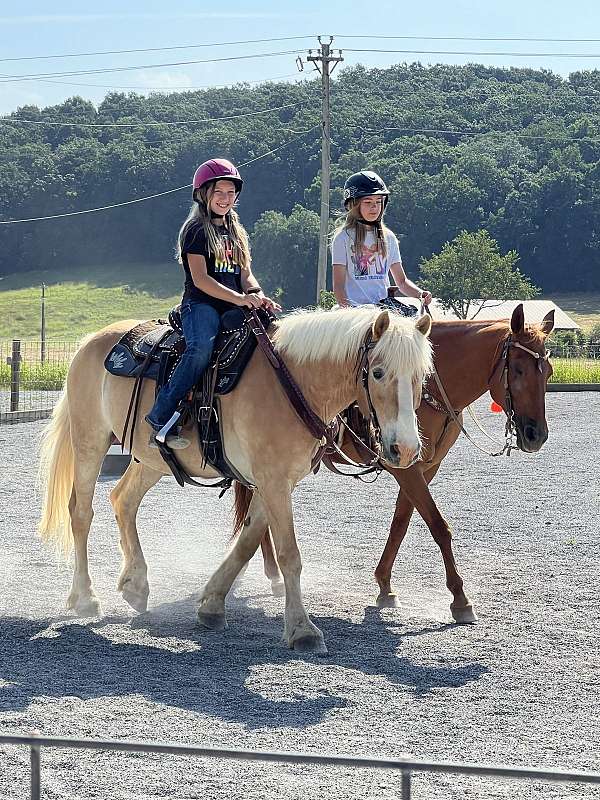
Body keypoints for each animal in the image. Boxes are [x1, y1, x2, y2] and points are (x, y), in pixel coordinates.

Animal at [36, 304, 432, 652]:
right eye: (377, 372)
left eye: (421, 376)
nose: (406, 449)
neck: (294, 382)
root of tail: (91, 341)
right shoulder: (273, 481)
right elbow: (289, 554)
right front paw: (302, 630)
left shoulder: (274, 482)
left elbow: (248, 541)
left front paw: (212, 603)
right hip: (90, 441)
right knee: (81, 514)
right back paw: (84, 597)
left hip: (150, 461)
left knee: (123, 501)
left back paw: (135, 584)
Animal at [233, 304, 552, 620]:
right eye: (519, 369)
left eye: (547, 372)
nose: (536, 435)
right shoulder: (407, 468)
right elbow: (438, 526)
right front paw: (460, 598)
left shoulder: (423, 467)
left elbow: (401, 523)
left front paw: (385, 585)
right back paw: (272, 573)